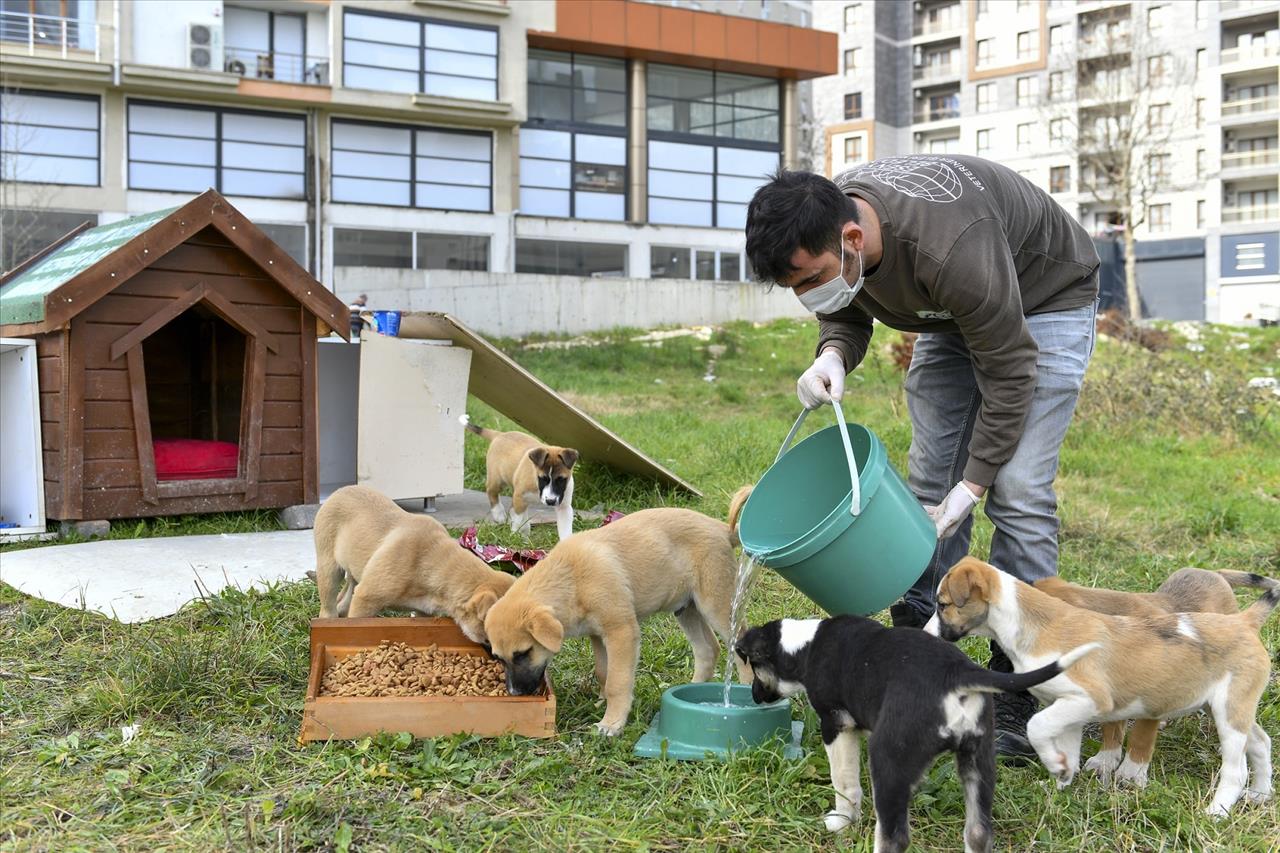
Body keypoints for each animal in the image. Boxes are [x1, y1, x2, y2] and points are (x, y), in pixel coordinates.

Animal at [314, 481, 514, 640]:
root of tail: (340, 490)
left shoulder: (423, 612)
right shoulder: (366, 599)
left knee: (347, 593)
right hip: (328, 566)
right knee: (329, 603)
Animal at [483, 494, 752, 732]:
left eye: (523, 653)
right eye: (498, 657)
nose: (515, 693)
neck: (571, 580)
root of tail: (721, 528)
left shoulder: (621, 632)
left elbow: (617, 681)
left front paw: (611, 723)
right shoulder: (597, 635)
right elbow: (604, 672)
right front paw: (602, 703)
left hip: (717, 604)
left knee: (739, 644)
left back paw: (748, 688)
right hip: (686, 609)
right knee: (708, 649)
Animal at [737, 614, 1095, 850]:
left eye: (753, 667)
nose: (753, 696)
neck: (805, 645)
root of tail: (957, 673)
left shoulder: (837, 724)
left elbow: (845, 783)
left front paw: (840, 822)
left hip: (888, 759)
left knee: (894, 836)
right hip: (978, 760)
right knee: (979, 833)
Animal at [926, 555, 1274, 814]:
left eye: (943, 605)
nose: (925, 638)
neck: (1034, 625)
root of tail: (1243, 621)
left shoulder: (1090, 699)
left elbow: (1037, 727)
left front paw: (1059, 767)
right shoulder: (1068, 708)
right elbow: (1067, 749)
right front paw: (1059, 784)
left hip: (1228, 712)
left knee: (1236, 769)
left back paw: (1216, 812)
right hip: (1226, 708)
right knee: (1260, 742)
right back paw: (1260, 794)